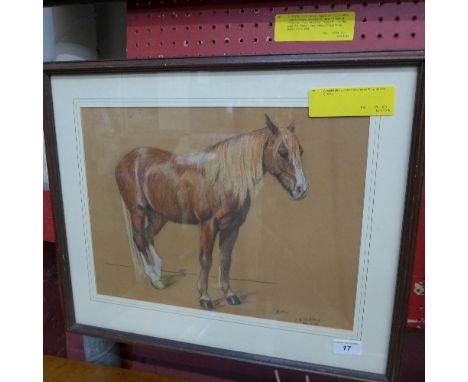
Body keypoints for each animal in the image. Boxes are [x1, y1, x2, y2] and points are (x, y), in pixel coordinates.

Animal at [115, 114, 308, 310]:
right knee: (139, 238)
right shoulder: (208, 225)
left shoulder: (232, 227)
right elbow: (206, 259)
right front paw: (205, 298)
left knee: (148, 235)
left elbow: (226, 259)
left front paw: (230, 294)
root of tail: (128, 157)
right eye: (283, 153)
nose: (301, 189)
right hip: (137, 211)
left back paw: (158, 275)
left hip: (159, 214)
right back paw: (153, 276)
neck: (222, 181)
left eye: (300, 152)